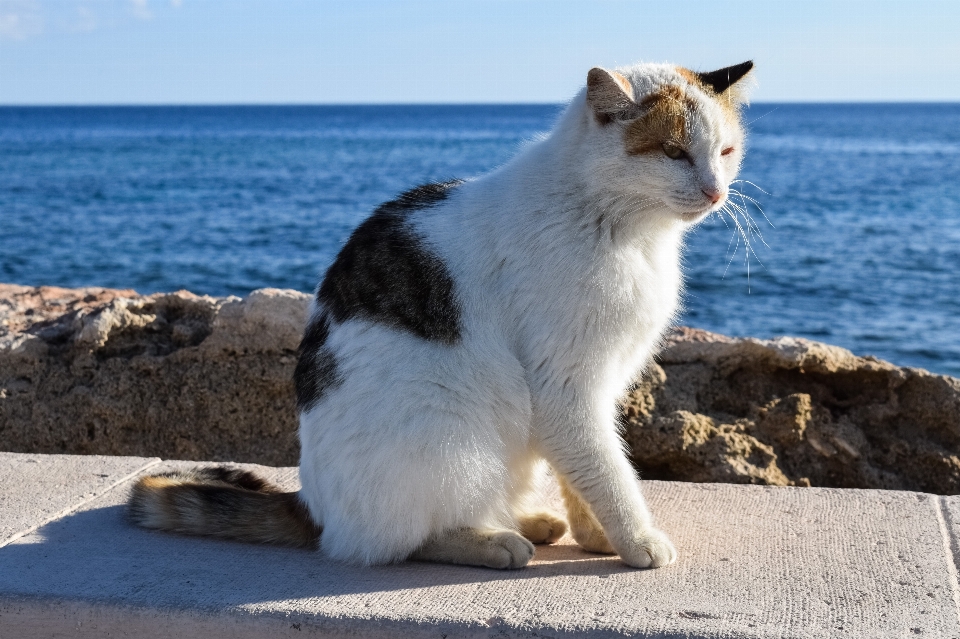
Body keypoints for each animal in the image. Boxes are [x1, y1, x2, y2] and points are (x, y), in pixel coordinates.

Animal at [129, 60, 756, 568]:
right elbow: (606, 471)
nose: (715, 191)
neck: (624, 230)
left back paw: (529, 521)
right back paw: (492, 541)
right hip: (452, 429)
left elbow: (581, 472)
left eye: (725, 152)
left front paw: (596, 535)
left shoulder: (599, 385)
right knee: (396, 541)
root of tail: (312, 506)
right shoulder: (564, 387)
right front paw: (636, 539)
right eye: (673, 152)